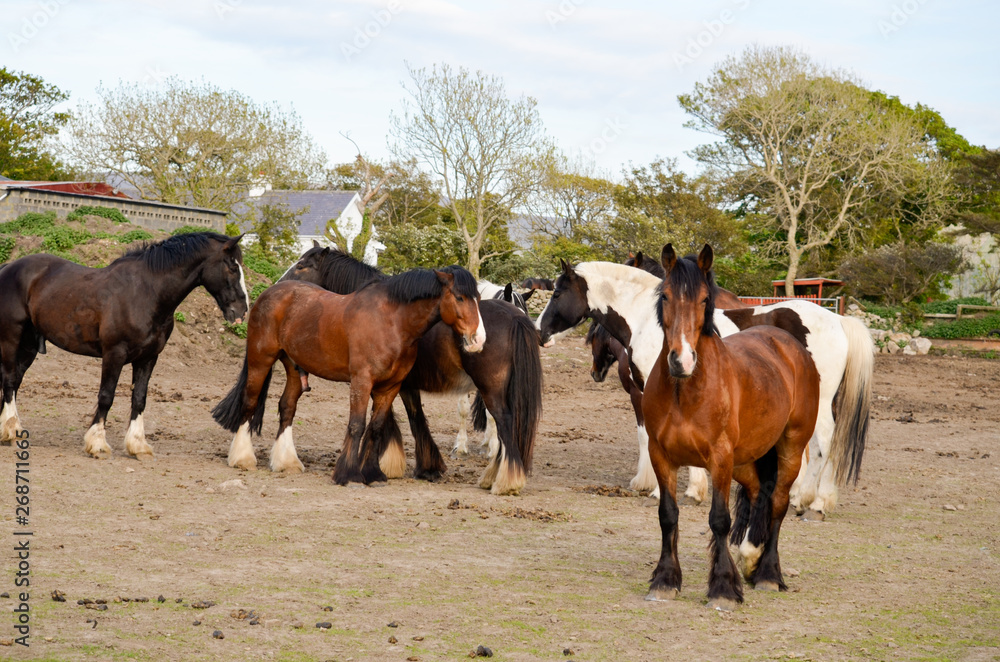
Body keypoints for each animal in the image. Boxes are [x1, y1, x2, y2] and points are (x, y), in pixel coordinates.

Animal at [0, 233, 249, 456]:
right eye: (232, 267)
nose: (242, 310)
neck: (146, 293)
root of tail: (9, 267)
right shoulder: (114, 354)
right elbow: (106, 396)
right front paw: (97, 444)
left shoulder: (148, 358)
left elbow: (139, 398)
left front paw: (137, 445)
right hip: (11, 337)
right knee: (10, 380)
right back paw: (11, 431)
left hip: (29, 346)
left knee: (15, 381)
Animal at [213, 266, 486, 488]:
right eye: (459, 297)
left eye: (478, 299)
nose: (478, 339)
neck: (392, 322)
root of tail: (268, 293)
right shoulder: (361, 382)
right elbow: (357, 425)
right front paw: (348, 474)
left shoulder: (390, 387)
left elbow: (375, 428)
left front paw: (373, 474)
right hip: (260, 359)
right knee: (249, 402)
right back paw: (242, 458)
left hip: (293, 366)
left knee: (287, 406)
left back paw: (286, 461)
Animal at [278, 246, 544, 496]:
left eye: (301, 266)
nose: (279, 284)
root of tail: (515, 317)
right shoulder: (400, 384)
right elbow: (413, 418)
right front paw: (426, 467)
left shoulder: (388, 383)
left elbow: (391, 421)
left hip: (490, 388)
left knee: (504, 421)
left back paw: (504, 481)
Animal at [536, 260, 872, 520]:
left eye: (557, 292)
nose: (539, 332)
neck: (650, 322)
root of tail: (838, 319)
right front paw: (691, 490)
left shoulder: (648, 394)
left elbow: (651, 438)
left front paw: (664, 490)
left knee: (825, 443)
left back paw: (814, 504)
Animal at [644, 245, 832, 612]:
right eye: (666, 296)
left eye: (705, 298)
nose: (681, 360)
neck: (685, 390)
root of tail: (789, 344)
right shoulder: (661, 456)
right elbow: (668, 515)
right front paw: (665, 580)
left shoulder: (719, 458)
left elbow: (719, 519)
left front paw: (722, 588)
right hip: (745, 460)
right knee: (760, 493)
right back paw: (750, 557)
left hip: (789, 449)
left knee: (778, 503)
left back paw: (768, 573)